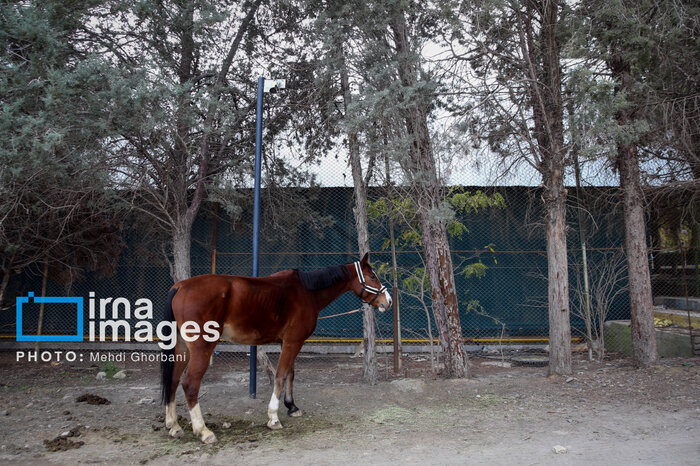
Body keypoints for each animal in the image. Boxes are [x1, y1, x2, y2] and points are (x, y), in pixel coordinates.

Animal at [159, 253, 392, 442]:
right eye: (372, 276)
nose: (388, 301)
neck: (307, 291)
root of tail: (180, 286)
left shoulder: (287, 342)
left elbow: (290, 373)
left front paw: (292, 406)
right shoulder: (293, 342)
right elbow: (280, 375)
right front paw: (273, 417)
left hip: (182, 348)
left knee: (173, 379)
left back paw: (174, 425)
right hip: (202, 348)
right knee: (190, 383)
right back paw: (203, 430)